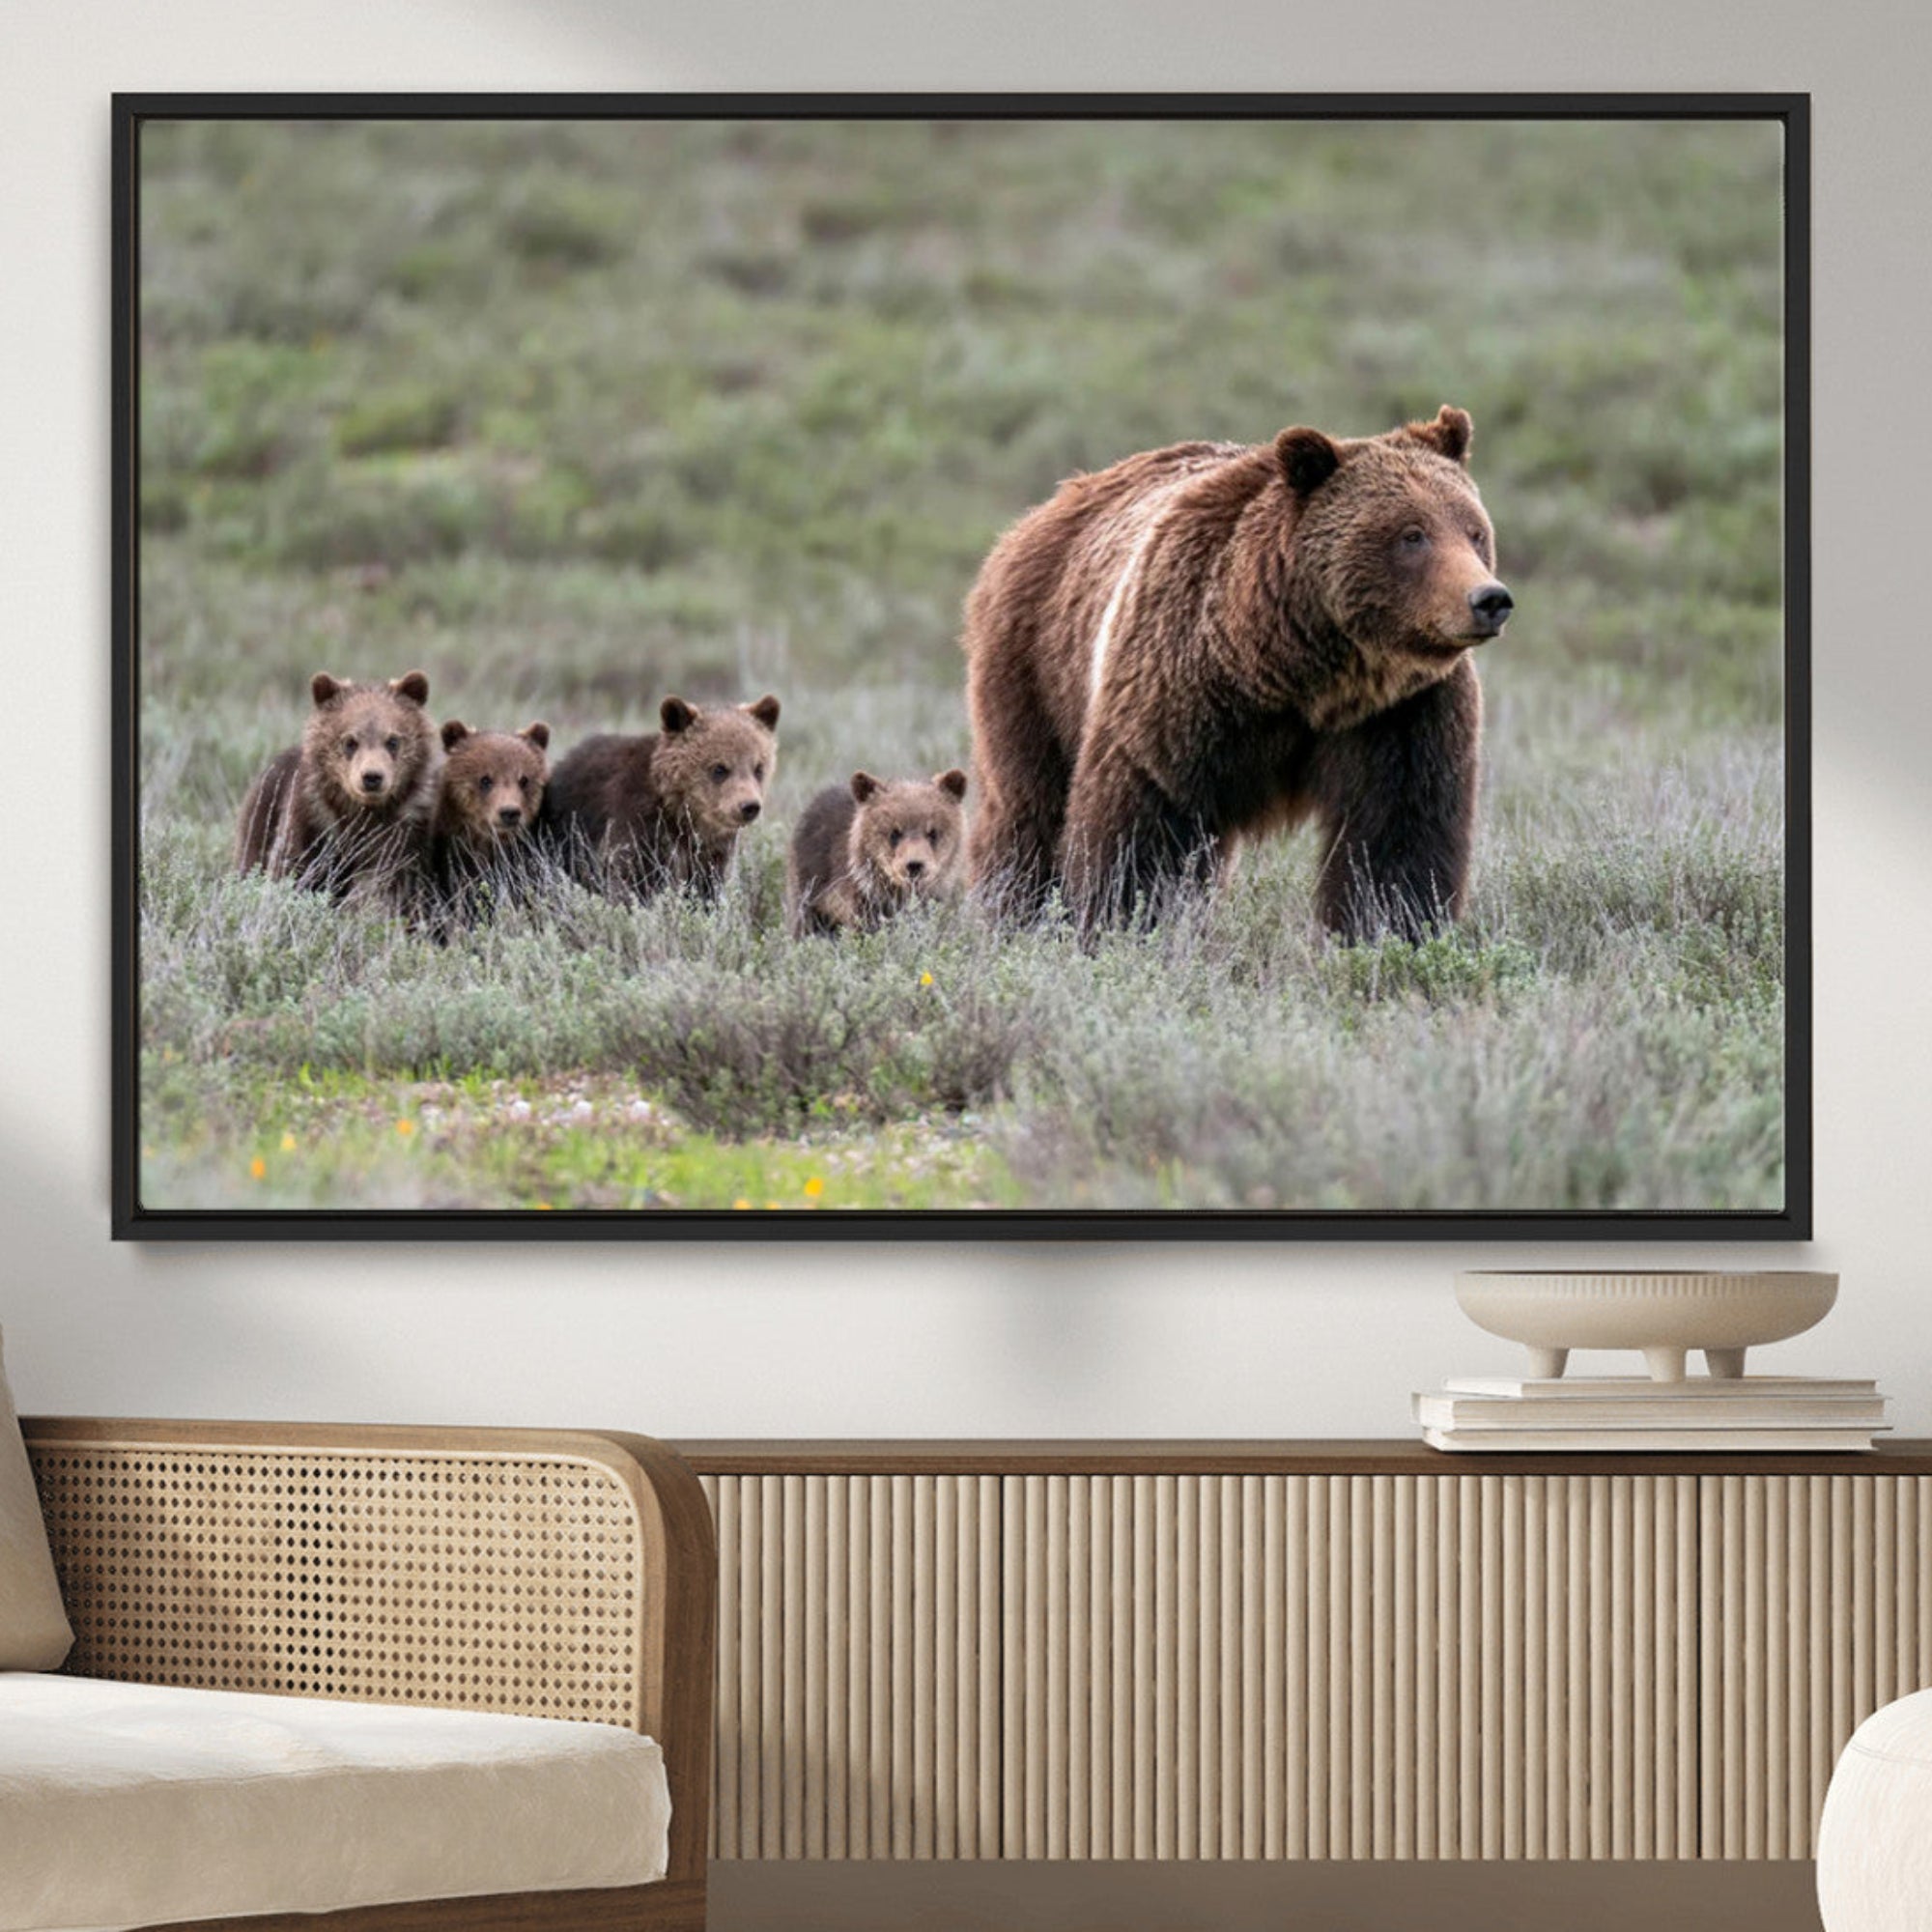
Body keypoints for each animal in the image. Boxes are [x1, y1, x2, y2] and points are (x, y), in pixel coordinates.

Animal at [234, 671, 440, 903]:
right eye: (350, 741)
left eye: (393, 741)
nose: (372, 777)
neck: (361, 812)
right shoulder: (312, 820)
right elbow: (290, 865)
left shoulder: (404, 831)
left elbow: (391, 881)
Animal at [541, 694, 781, 901]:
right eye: (719, 768)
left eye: (758, 768)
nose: (749, 806)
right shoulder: (637, 825)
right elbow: (634, 881)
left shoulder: (709, 852)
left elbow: (705, 887)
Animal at [961, 405, 1512, 938]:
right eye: (1412, 535)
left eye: (1474, 531)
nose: (1489, 599)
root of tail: (1045, 510)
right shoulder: (1180, 688)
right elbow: (1143, 823)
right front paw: (1121, 923)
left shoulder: (1400, 711)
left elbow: (1398, 834)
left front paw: (1389, 930)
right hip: (1036, 665)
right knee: (1027, 807)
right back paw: (1014, 911)